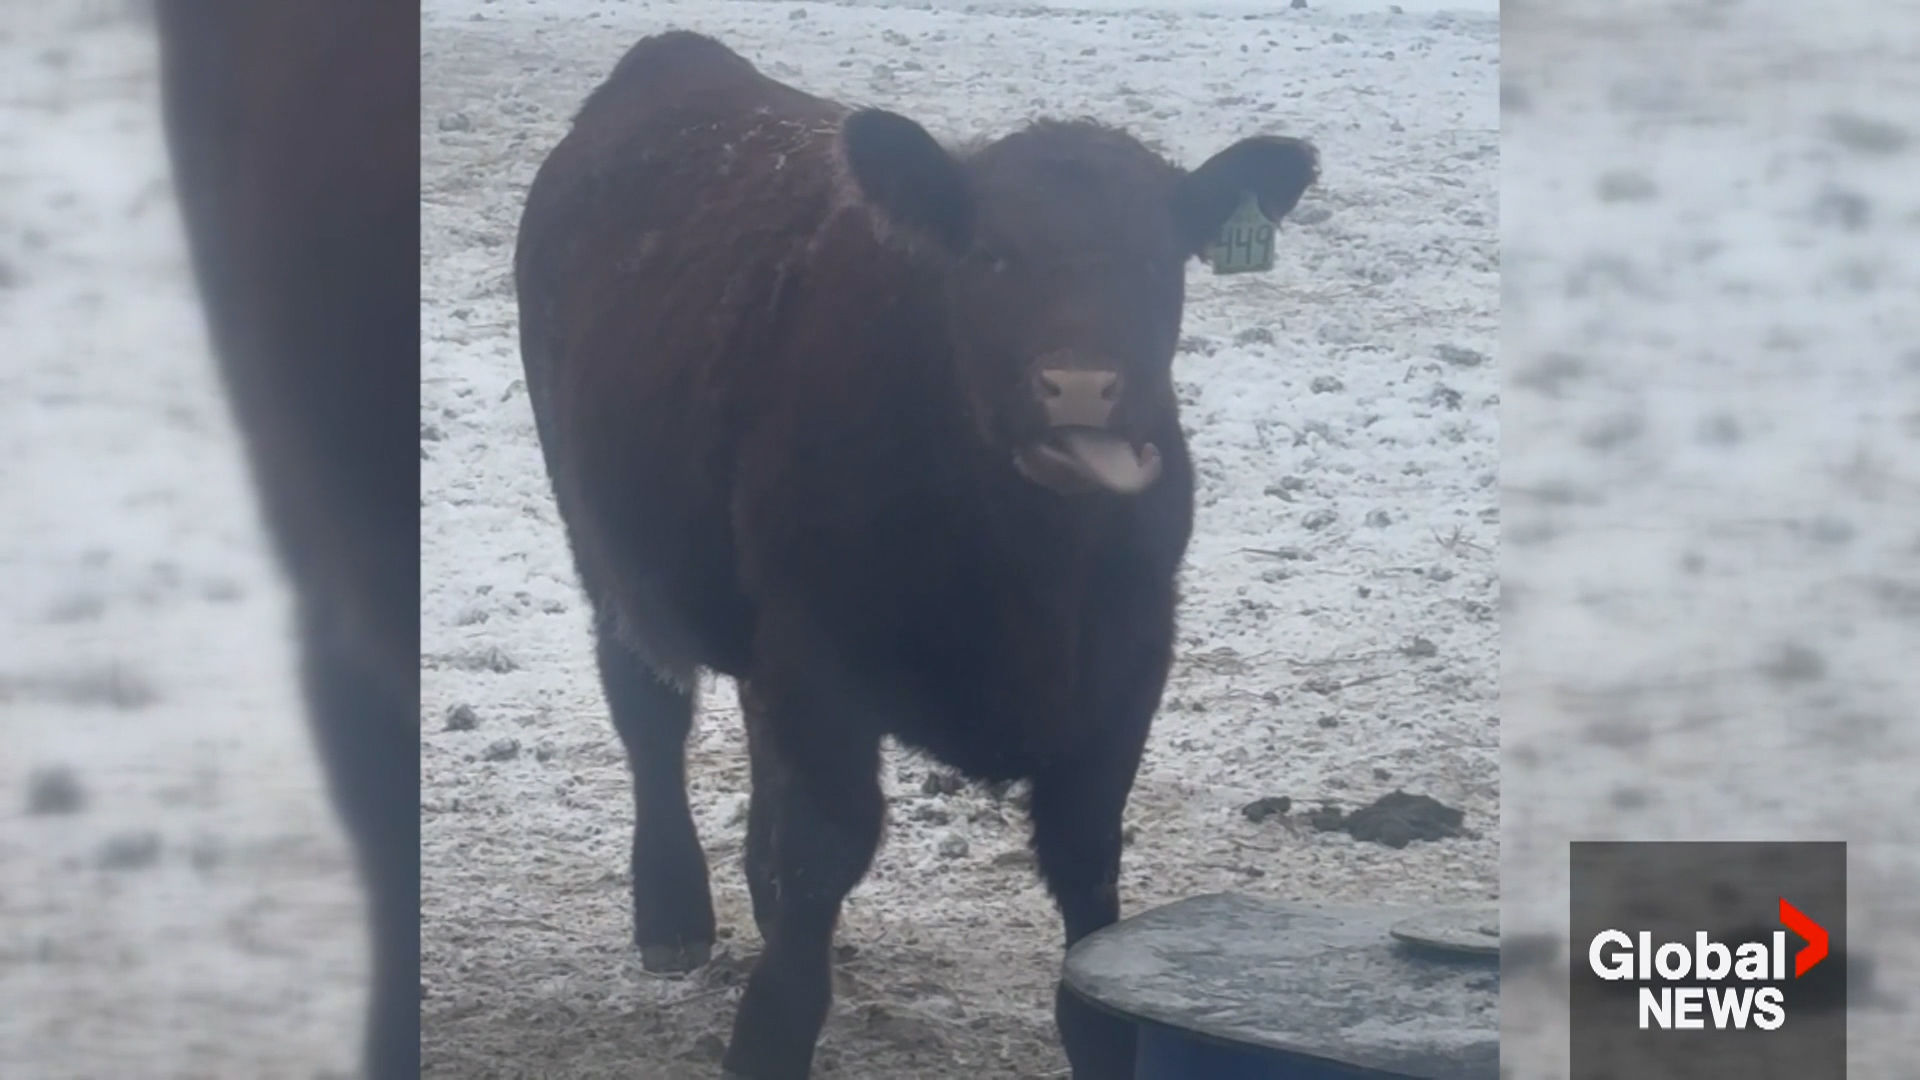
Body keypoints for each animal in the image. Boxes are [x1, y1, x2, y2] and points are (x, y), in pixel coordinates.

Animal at [514, 30, 1316, 1080]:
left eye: (1155, 260)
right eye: (992, 254)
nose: (1079, 385)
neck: (1029, 574)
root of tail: (677, 56)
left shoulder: (1130, 661)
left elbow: (1087, 868)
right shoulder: (819, 654)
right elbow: (826, 849)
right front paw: (768, 1029)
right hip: (604, 537)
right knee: (649, 710)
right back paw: (673, 913)